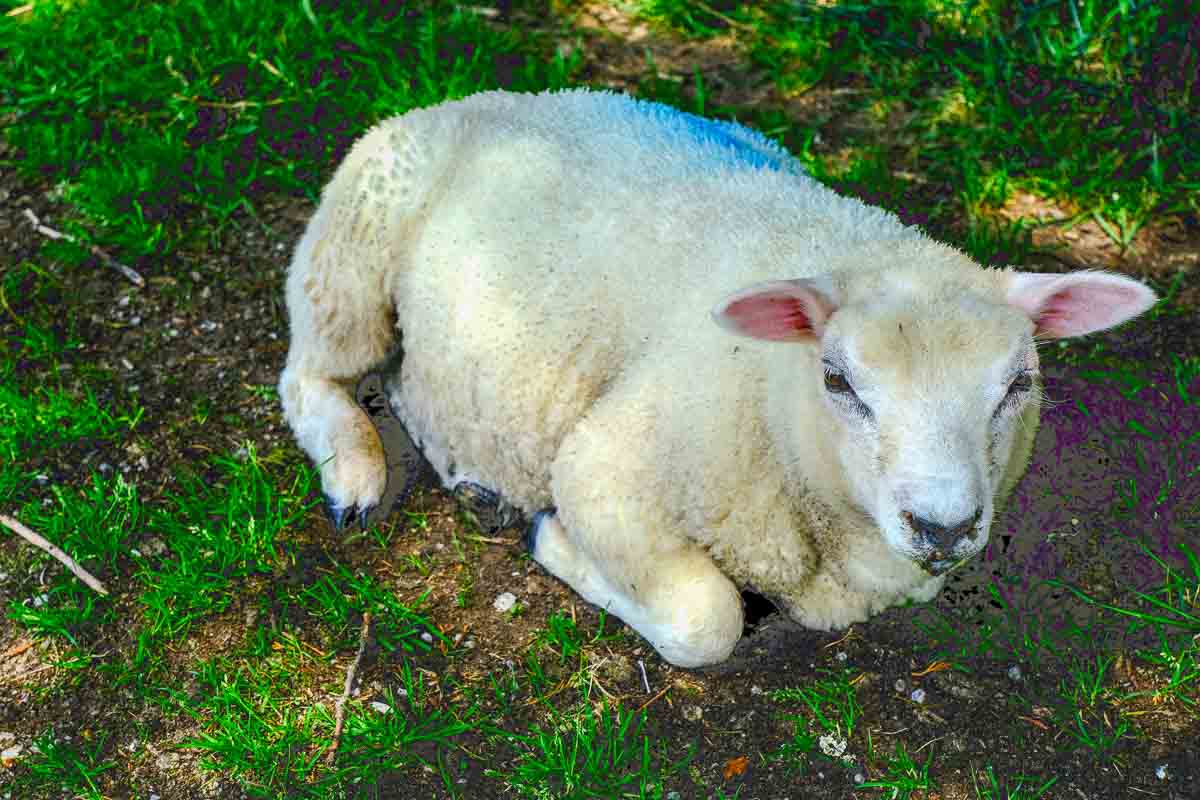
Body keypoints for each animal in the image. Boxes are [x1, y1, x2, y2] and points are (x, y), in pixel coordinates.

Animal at [276, 89, 1156, 671]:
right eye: (839, 380)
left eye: (1016, 385)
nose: (943, 528)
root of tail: (480, 96)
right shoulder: (603, 470)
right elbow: (709, 621)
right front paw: (555, 542)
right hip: (352, 252)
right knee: (309, 374)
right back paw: (357, 471)